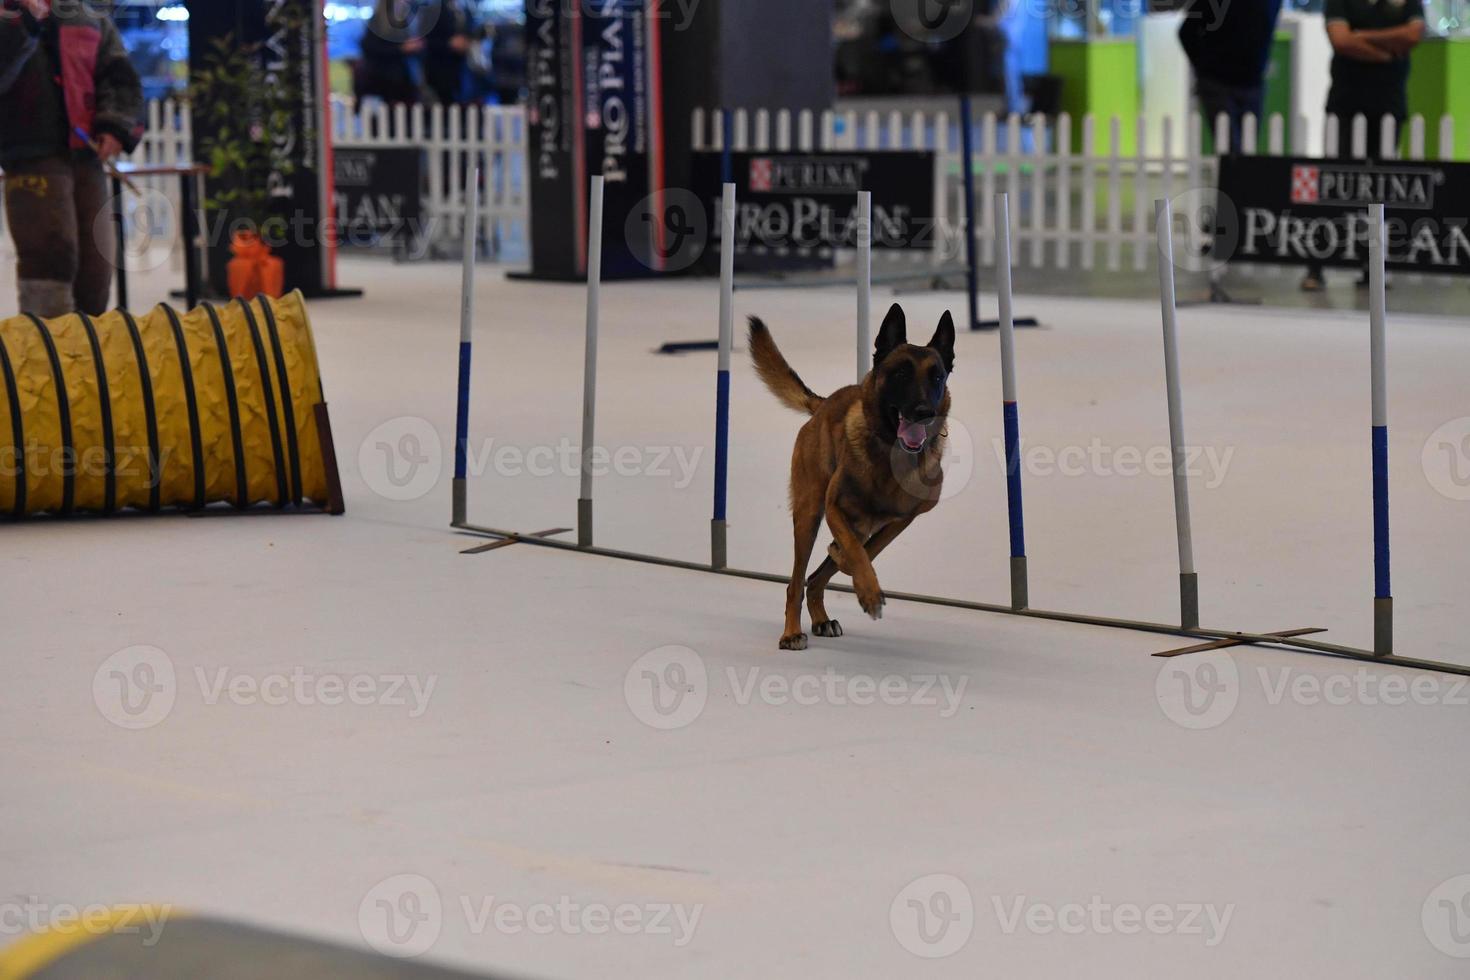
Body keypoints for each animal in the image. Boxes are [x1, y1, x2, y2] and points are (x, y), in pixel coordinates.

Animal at [746, 302, 952, 646]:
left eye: (937, 377)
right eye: (900, 374)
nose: (924, 412)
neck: (890, 456)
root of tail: (823, 403)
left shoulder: (903, 519)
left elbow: (867, 551)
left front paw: (850, 569)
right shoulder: (835, 509)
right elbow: (856, 553)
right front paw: (867, 590)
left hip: (856, 524)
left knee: (816, 577)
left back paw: (821, 617)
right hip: (809, 515)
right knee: (796, 582)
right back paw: (792, 632)